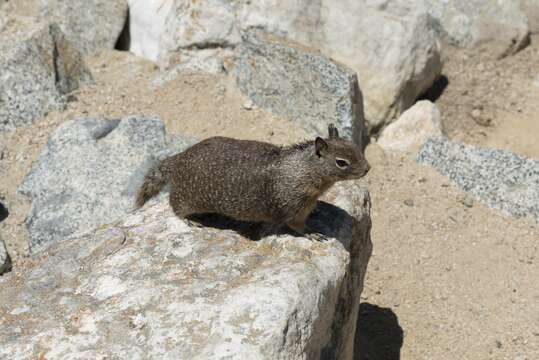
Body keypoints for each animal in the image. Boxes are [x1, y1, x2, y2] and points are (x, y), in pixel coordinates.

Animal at [136, 124, 372, 235]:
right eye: (341, 162)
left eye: (355, 147)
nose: (368, 168)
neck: (304, 170)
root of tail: (178, 158)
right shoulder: (293, 207)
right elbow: (296, 226)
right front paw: (313, 233)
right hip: (187, 197)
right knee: (175, 206)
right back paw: (190, 220)